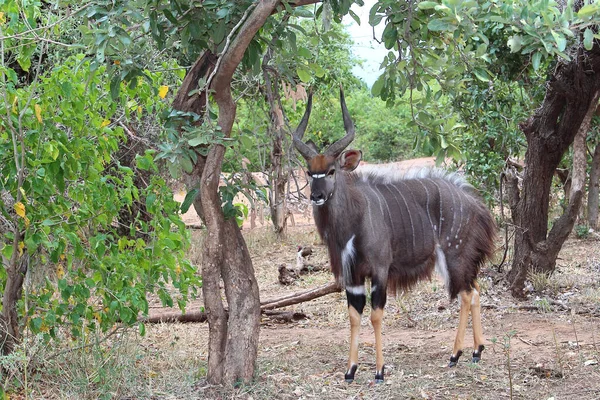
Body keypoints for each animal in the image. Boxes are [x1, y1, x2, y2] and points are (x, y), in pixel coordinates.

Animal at [292, 89, 494, 382]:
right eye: (309, 172)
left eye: (331, 170)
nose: (316, 196)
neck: (354, 220)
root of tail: (475, 202)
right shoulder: (352, 275)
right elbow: (354, 315)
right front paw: (350, 370)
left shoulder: (379, 269)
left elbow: (376, 315)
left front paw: (379, 371)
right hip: (460, 260)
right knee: (475, 290)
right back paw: (477, 351)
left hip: (454, 255)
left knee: (466, 295)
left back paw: (455, 355)